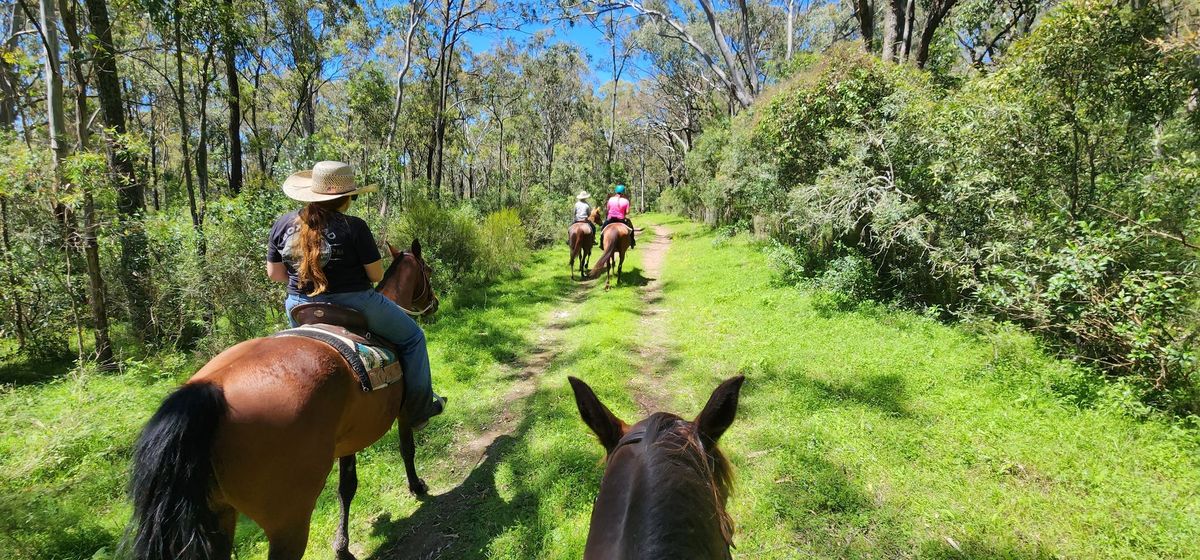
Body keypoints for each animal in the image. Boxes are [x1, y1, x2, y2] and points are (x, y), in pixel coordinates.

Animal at [125, 239, 441, 560]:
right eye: (427, 270)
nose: (434, 304)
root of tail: (209, 390)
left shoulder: (347, 438)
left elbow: (347, 486)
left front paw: (342, 547)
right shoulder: (403, 413)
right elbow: (407, 449)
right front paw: (417, 487)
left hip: (219, 516)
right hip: (288, 521)